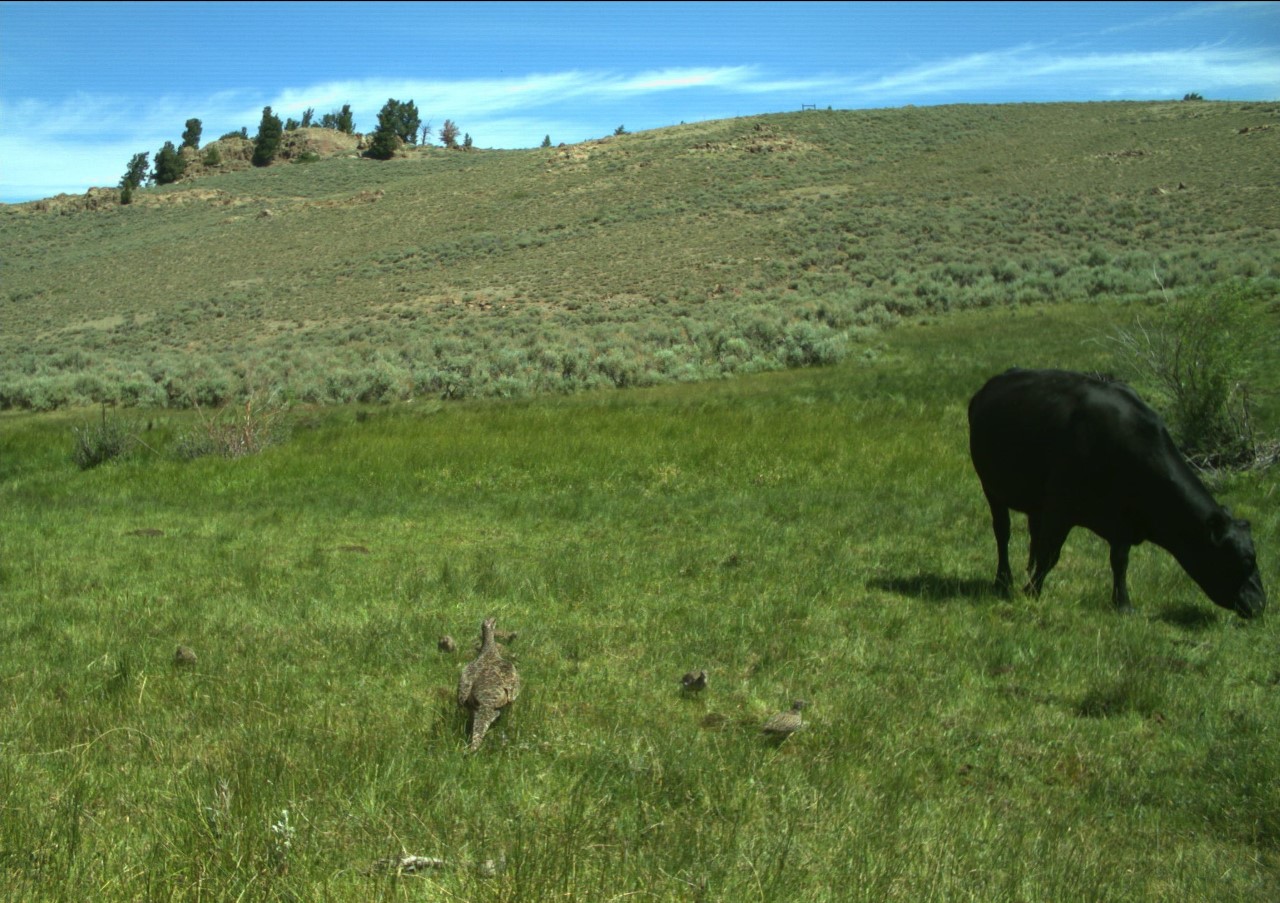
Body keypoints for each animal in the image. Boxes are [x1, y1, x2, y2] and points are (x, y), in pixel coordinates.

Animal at [967, 368, 1259, 617]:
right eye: (1245, 559)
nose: (1260, 603)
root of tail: (988, 386)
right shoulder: (1061, 509)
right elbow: (1051, 554)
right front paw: (1032, 592)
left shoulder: (1123, 521)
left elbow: (1119, 562)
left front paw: (1123, 604)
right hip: (991, 488)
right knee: (1003, 532)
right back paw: (1003, 580)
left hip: (1036, 502)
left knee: (1033, 535)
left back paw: (1027, 571)